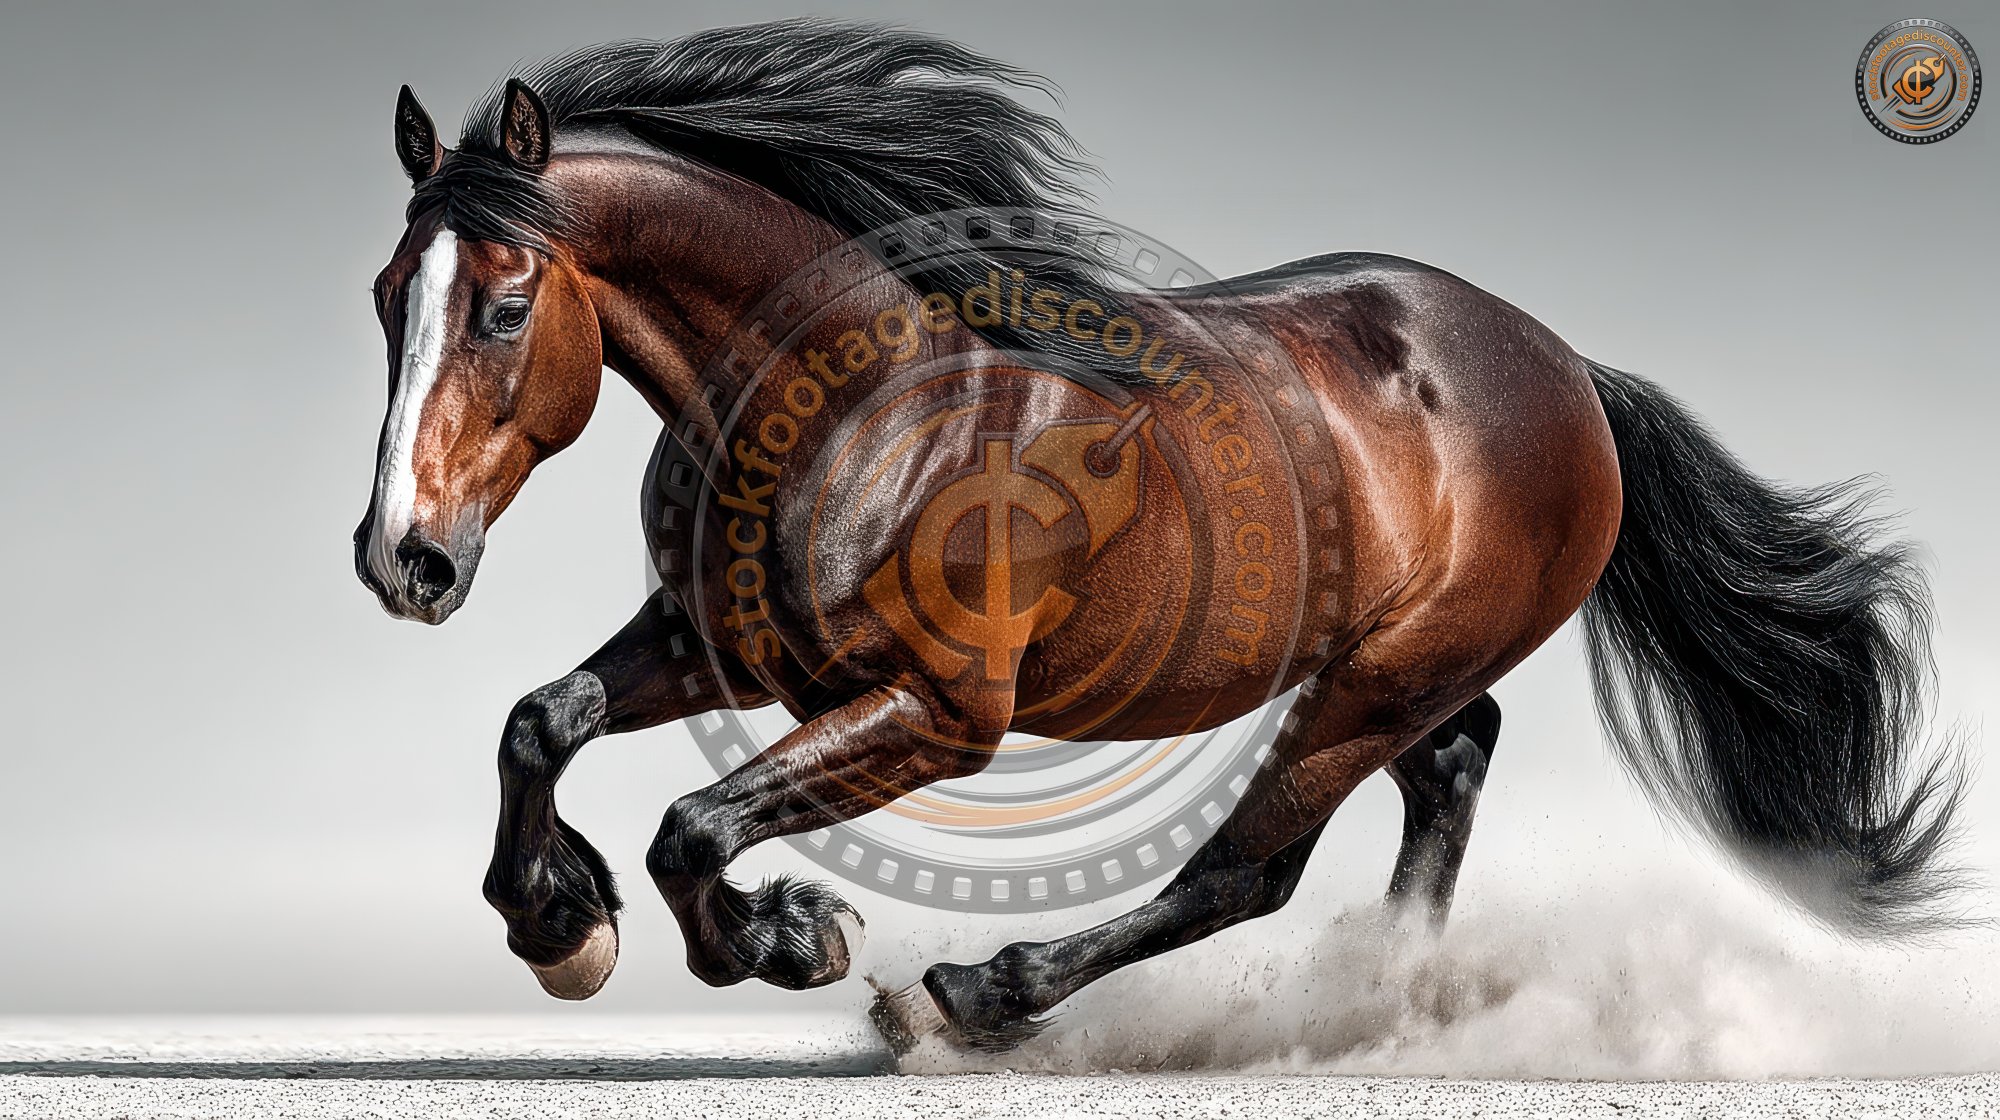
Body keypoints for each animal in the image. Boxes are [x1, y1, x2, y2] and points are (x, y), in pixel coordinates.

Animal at [354, 19, 1967, 1052]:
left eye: (503, 306)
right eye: (386, 296)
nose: (403, 560)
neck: (862, 404)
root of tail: (1568, 372)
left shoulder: (942, 713)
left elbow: (694, 824)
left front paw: (790, 937)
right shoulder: (720, 646)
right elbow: (541, 722)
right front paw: (560, 921)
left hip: (1365, 686)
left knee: (1246, 871)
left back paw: (980, 996)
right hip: (1394, 670)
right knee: (1447, 769)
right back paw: (1378, 1002)